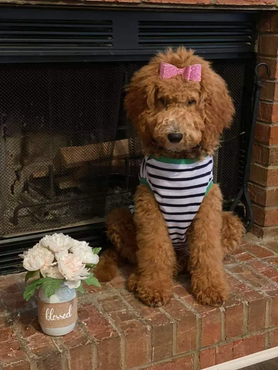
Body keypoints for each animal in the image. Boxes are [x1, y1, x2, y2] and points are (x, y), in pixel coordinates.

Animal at [95, 47, 243, 308]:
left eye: (192, 101)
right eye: (163, 100)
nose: (174, 136)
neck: (178, 164)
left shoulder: (208, 207)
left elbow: (207, 252)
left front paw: (211, 287)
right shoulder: (149, 207)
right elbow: (154, 251)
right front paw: (154, 287)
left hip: (230, 221)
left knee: (190, 256)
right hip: (119, 217)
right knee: (138, 256)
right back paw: (140, 278)